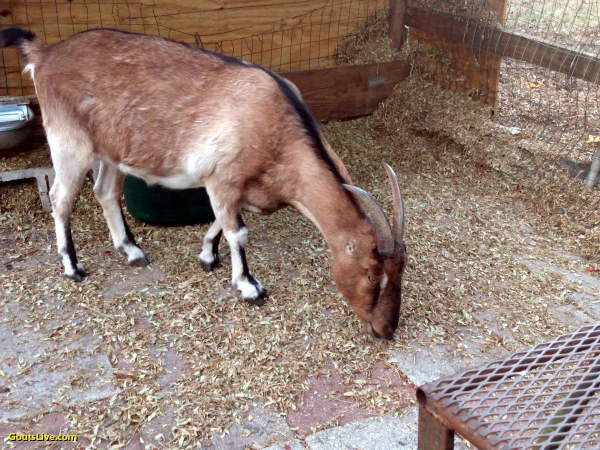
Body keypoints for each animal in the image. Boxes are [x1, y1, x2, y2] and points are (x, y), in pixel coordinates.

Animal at [1, 27, 408, 338]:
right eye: (372, 275)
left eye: (399, 273)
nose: (386, 330)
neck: (280, 131)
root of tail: (44, 53)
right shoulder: (224, 177)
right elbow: (238, 232)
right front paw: (249, 287)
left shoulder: (237, 186)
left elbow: (222, 222)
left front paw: (208, 255)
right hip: (68, 140)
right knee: (61, 197)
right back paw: (73, 267)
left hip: (114, 150)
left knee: (105, 191)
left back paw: (131, 251)